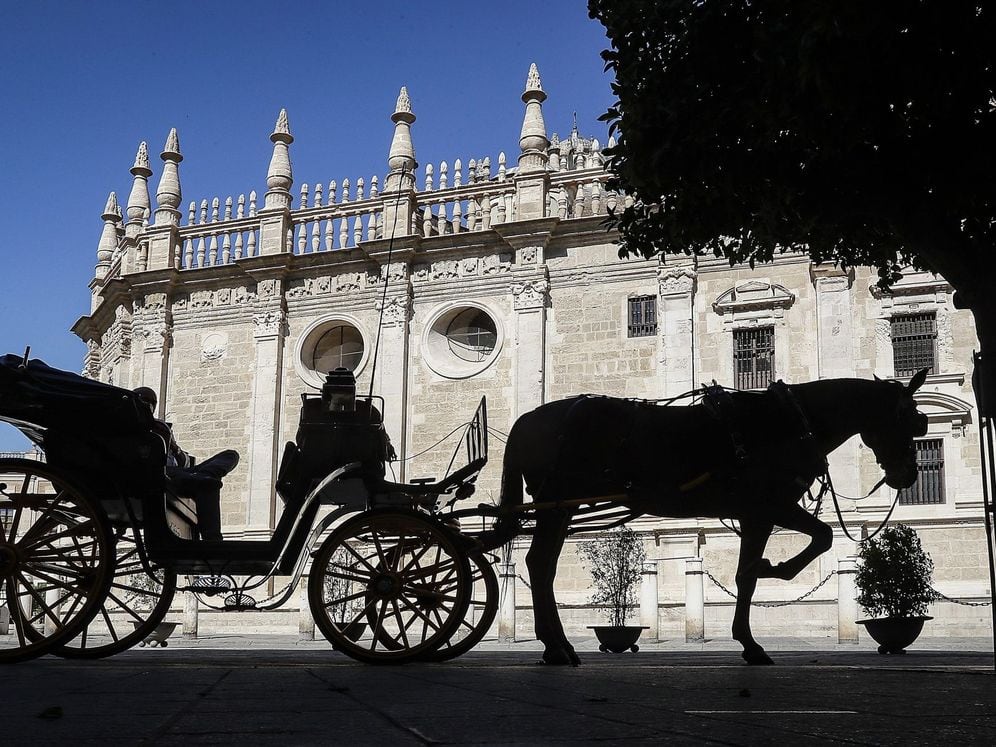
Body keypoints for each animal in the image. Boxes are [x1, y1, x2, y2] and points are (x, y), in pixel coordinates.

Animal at [478, 370, 928, 668]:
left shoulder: (756, 515)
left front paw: (752, 623)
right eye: (910, 419)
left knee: (542, 565)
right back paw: (555, 645)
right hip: (556, 505)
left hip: (561, 508)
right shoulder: (768, 509)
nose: (908, 475)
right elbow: (809, 544)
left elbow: (760, 568)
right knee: (539, 564)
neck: (787, 422)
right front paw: (771, 582)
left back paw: (557, 645)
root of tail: (526, 420)